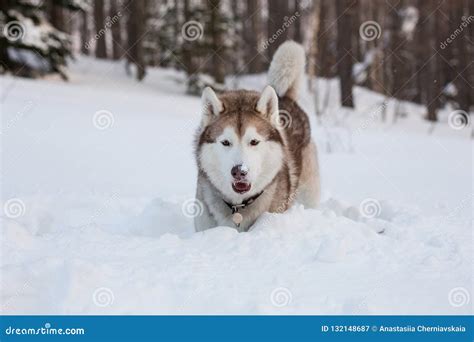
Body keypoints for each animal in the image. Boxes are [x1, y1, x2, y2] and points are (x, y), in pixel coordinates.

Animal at [194, 41, 320, 231]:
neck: (238, 206)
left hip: (308, 191)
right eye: (225, 142)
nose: (239, 171)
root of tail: (285, 97)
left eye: (254, 141)